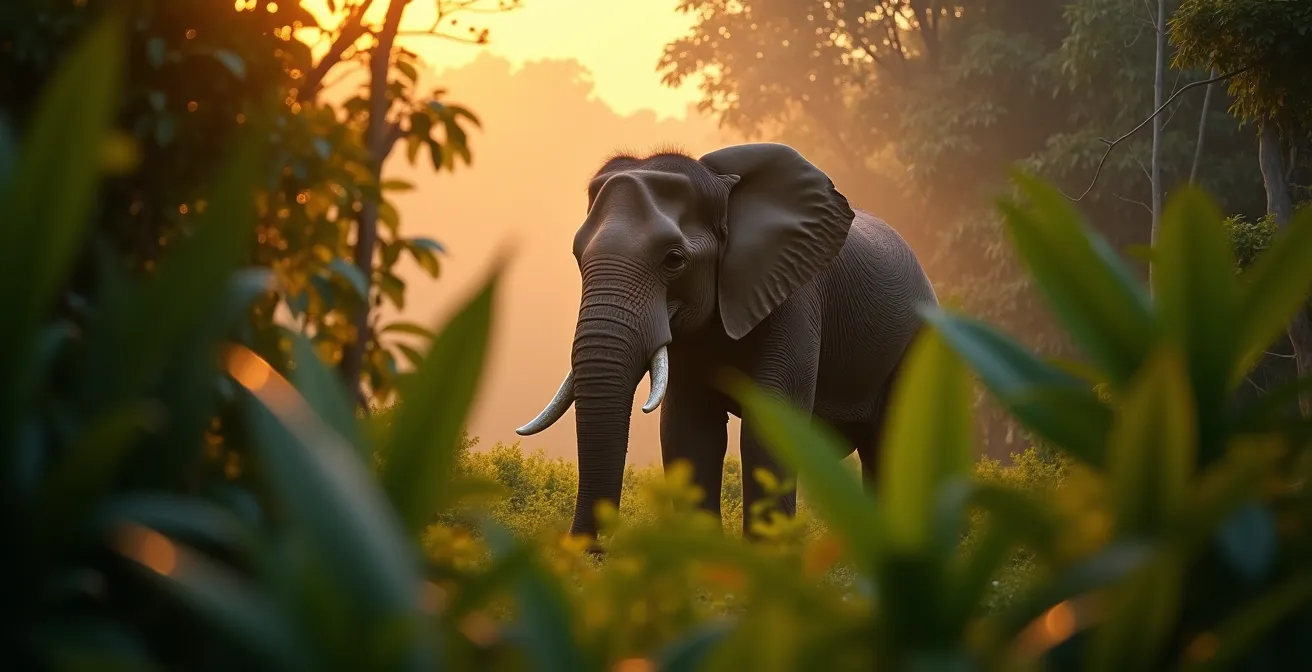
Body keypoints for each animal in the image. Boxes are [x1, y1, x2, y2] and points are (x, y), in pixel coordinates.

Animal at [515, 142, 938, 542]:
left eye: (674, 260)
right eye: (577, 256)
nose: (593, 550)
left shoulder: (794, 297)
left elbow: (769, 428)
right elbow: (688, 430)